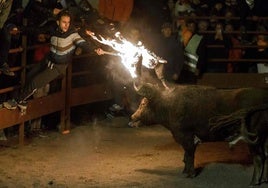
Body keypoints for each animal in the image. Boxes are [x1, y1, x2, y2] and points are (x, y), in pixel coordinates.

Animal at [131, 83, 268, 187]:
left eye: (143, 104)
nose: (132, 116)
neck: (170, 105)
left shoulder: (186, 136)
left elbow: (190, 155)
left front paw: (190, 174)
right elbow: (186, 156)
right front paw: (185, 171)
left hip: (253, 138)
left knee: (258, 158)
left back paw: (253, 182)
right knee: (265, 156)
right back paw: (264, 179)